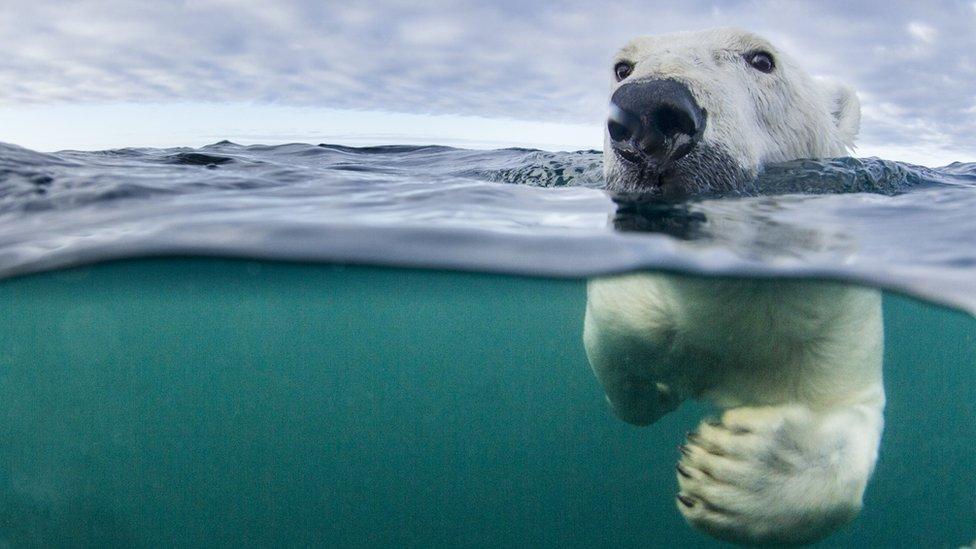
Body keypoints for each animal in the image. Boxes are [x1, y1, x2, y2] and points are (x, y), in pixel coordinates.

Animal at [584, 26, 888, 544]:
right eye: (623, 67)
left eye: (761, 59)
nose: (648, 109)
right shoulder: (637, 298)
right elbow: (615, 341)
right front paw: (658, 391)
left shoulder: (835, 316)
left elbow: (849, 407)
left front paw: (732, 470)